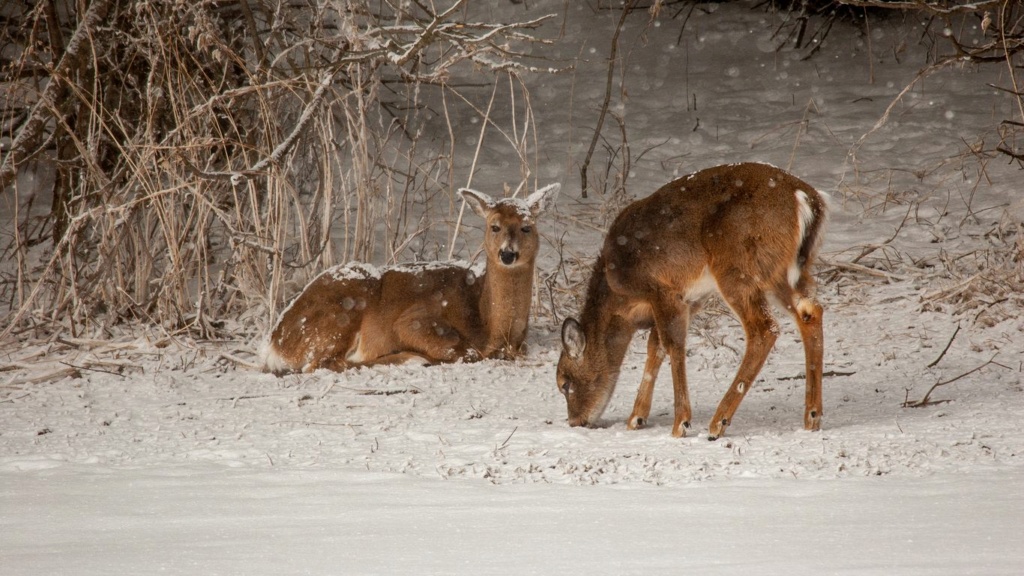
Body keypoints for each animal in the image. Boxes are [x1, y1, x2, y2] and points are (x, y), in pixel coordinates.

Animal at [264, 182, 561, 373]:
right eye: (494, 226)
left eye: (526, 227)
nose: (507, 254)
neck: (491, 327)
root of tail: (275, 341)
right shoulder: (413, 320)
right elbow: (465, 351)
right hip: (341, 314)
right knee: (322, 363)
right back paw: (410, 358)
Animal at [557, 163, 827, 436]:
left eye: (564, 383)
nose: (575, 421)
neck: (620, 299)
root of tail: (806, 199)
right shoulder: (691, 299)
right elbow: (655, 347)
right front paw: (637, 417)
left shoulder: (661, 288)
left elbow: (672, 345)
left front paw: (681, 423)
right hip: (784, 272)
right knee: (810, 310)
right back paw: (812, 417)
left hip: (738, 267)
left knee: (764, 328)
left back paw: (719, 422)